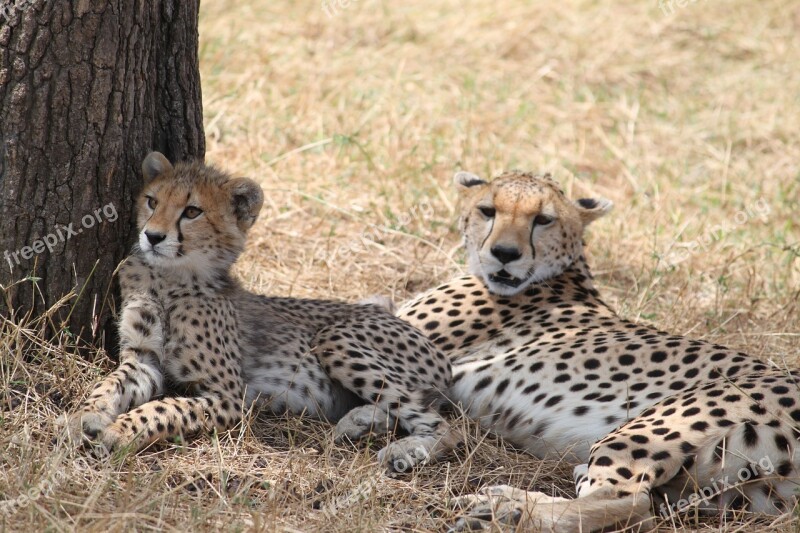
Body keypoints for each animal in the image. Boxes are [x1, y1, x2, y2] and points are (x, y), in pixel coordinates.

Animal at [61, 151, 456, 470]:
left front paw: (118, 431)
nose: (152, 236)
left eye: (192, 211)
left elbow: (163, 409)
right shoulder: (143, 358)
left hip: (335, 338)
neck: (168, 279)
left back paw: (405, 451)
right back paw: (360, 421)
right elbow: (109, 384)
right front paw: (84, 416)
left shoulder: (228, 396)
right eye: (152, 201)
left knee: (445, 426)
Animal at [396, 170, 796, 528]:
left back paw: (504, 512)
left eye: (543, 219)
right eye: (487, 210)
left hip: (653, 425)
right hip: (743, 494)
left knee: (630, 504)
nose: (505, 253)